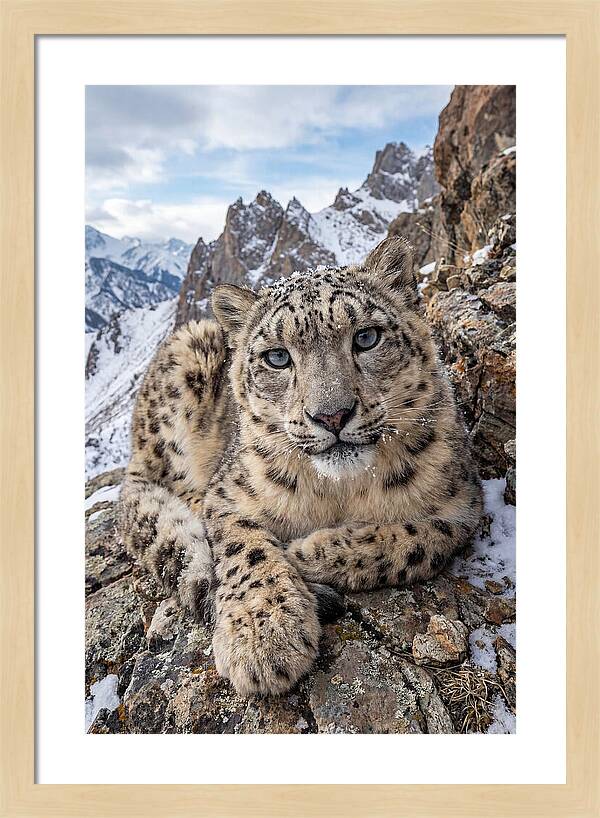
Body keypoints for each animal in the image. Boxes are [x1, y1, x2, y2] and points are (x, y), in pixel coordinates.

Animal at [118, 235, 484, 697]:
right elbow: (245, 548)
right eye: (277, 357)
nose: (332, 415)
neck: (340, 491)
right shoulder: (227, 495)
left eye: (366, 337)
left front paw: (307, 552)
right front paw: (264, 637)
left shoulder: (463, 503)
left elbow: (417, 540)